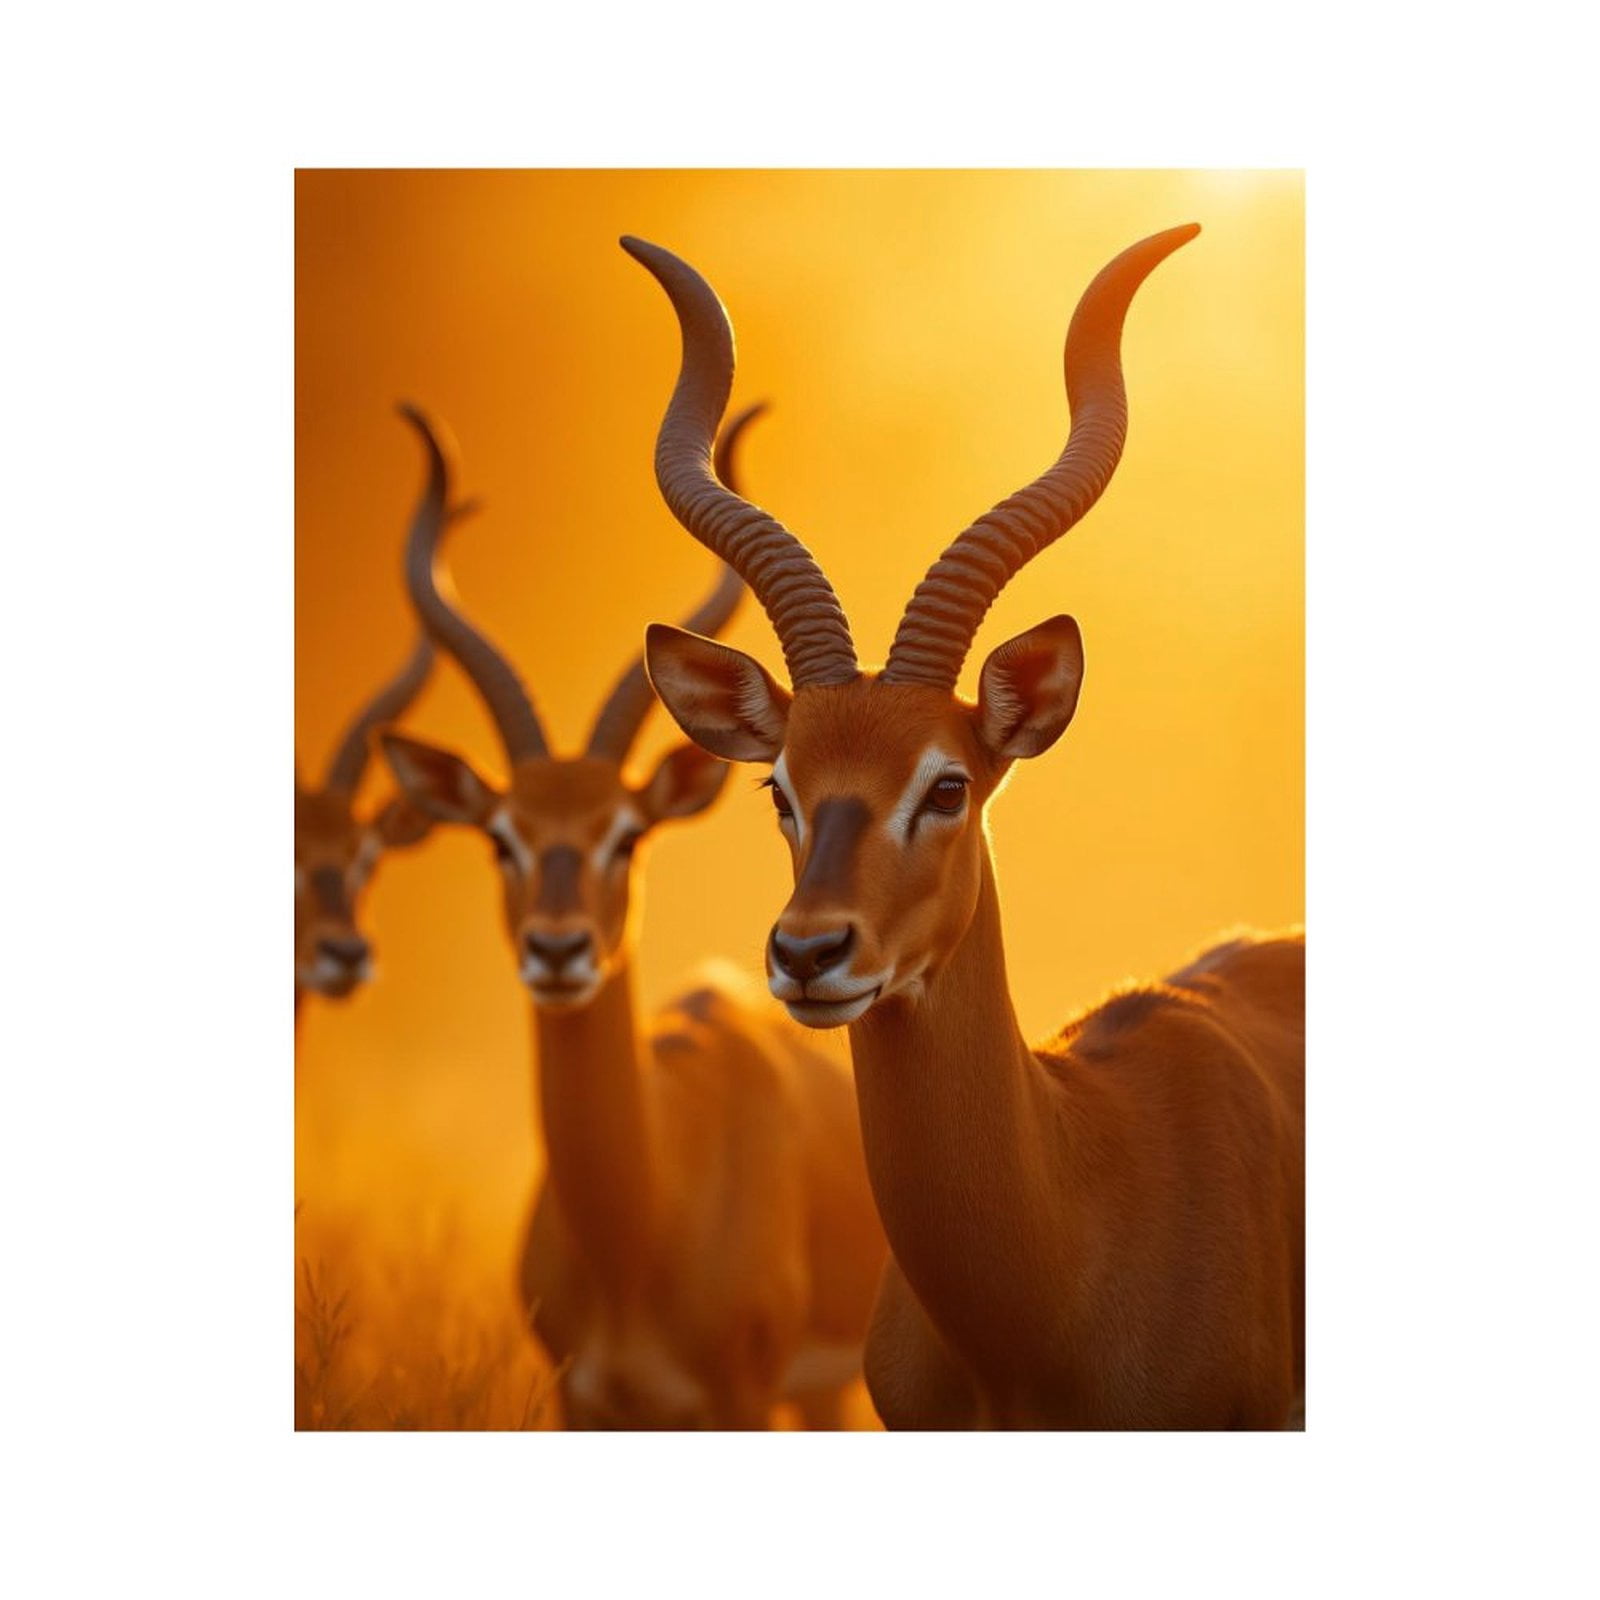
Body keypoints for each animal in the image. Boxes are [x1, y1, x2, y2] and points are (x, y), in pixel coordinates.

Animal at [377, 403, 886, 1429]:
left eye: (628, 836)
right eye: (501, 839)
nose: (559, 950)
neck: (639, 1230)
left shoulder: (739, 1400)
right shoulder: (582, 1403)